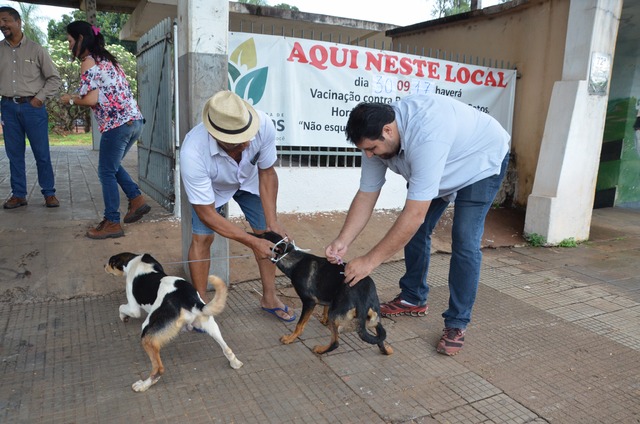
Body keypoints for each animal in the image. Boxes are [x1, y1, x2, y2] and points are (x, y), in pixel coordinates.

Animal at [106, 250, 244, 392]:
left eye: (110, 262)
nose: (104, 266)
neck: (134, 260)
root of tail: (186, 297)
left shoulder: (133, 307)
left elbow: (122, 307)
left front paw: (123, 316)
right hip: (210, 324)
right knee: (226, 348)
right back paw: (235, 363)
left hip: (147, 333)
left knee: (159, 368)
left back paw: (144, 385)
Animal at [258, 232, 392, 354]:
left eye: (263, 236)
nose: (254, 235)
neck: (294, 259)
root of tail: (363, 302)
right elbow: (325, 308)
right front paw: (323, 319)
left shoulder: (309, 302)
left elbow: (299, 325)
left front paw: (290, 338)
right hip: (375, 320)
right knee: (380, 340)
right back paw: (387, 350)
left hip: (336, 314)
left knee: (335, 343)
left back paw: (320, 349)